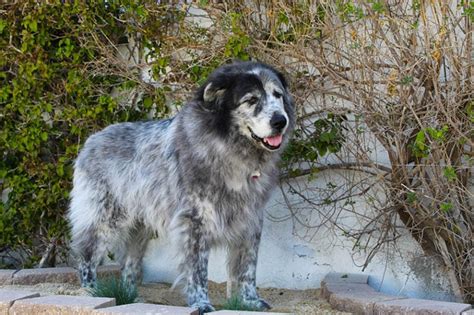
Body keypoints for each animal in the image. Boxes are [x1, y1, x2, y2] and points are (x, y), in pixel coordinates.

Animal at [68, 61, 294, 314]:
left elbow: (248, 267)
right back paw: (90, 292)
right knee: (86, 255)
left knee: (129, 264)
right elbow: (197, 270)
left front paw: (250, 301)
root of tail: (92, 140)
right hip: (105, 219)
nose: (280, 121)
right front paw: (201, 303)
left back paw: (131, 297)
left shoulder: (250, 220)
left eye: (277, 95)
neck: (229, 147)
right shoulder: (195, 221)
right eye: (251, 100)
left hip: (140, 230)